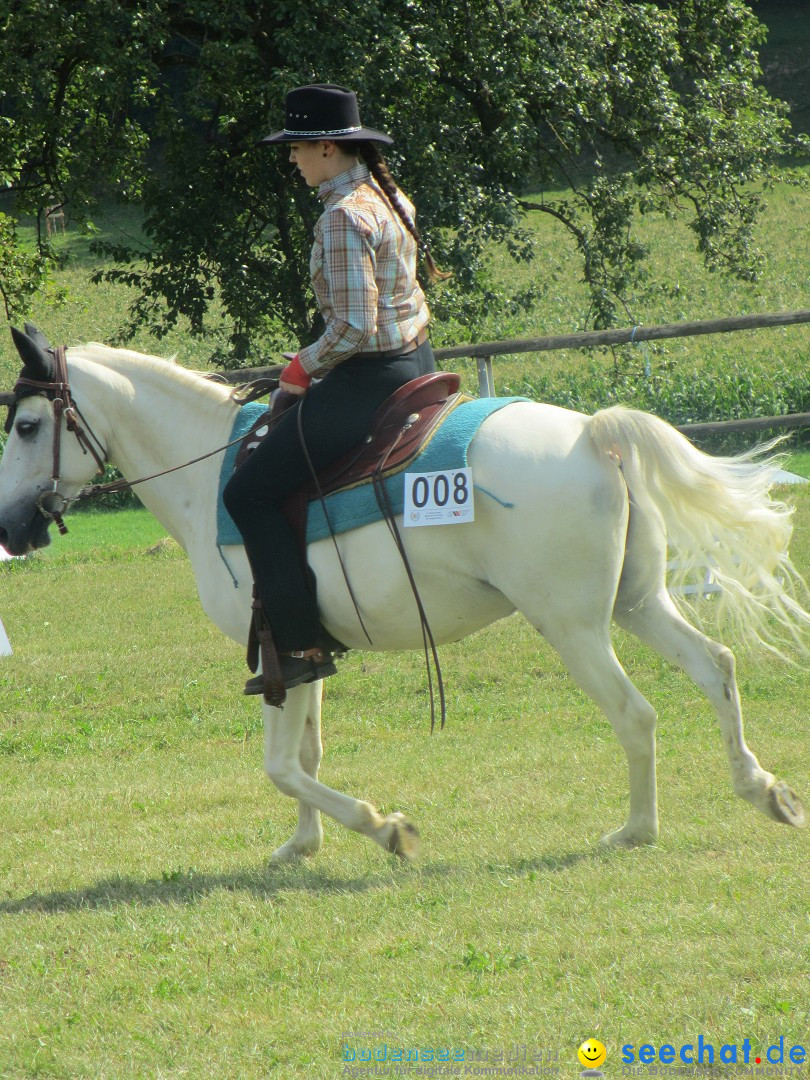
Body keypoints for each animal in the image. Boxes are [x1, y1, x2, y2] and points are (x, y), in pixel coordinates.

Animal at [0, 330, 807, 859]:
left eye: (29, 424)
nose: (9, 526)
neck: (210, 476)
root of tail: (591, 437)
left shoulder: (272, 647)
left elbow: (281, 765)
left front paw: (384, 827)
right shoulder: (303, 651)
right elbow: (307, 753)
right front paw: (302, 845)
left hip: (574, 626)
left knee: (635, 713)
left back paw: (636, 830)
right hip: (635, 603)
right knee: (714, 667)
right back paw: (762, 790)